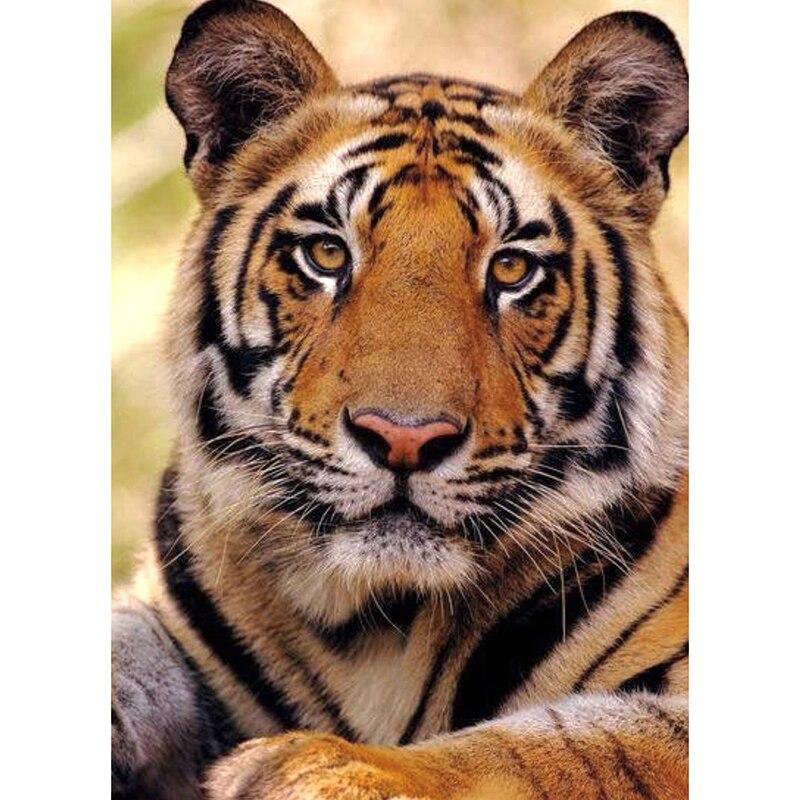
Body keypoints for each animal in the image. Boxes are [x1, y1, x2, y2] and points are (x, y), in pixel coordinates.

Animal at [111, 1, 689, 798]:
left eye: (511, 269)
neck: (372, 626)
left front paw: (317, 765)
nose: (404, 439)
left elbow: (565, 745)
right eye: (327, 254)